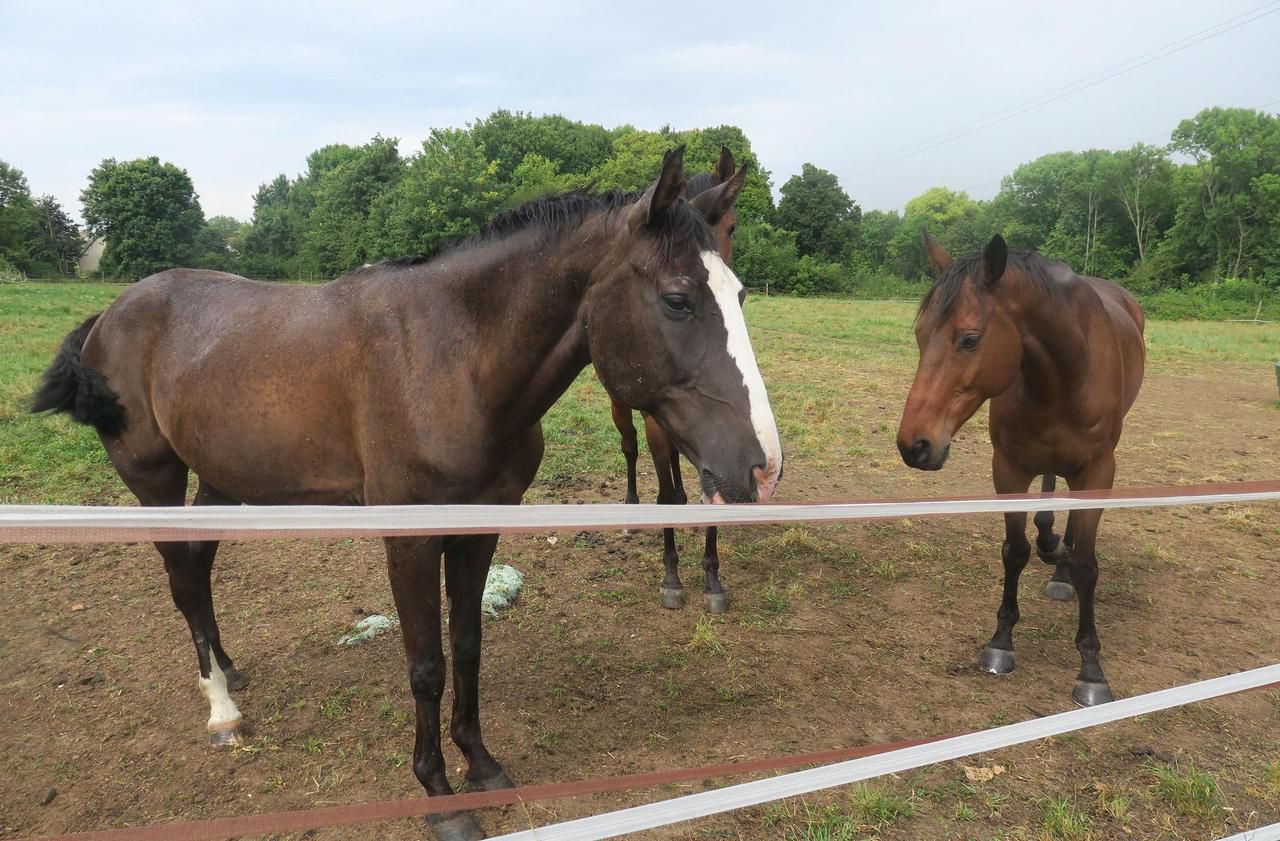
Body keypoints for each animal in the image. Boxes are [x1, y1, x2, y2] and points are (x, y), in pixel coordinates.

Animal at [609, 145, 742, 609]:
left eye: (732, 226)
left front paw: (713, 579)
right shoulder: (655, 425)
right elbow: (664, 493)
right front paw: (672, 577)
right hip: (620, 407)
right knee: (630, 449)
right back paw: (632, 508)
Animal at [896, 232, 1146, 706]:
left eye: (970, 339)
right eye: (919, 335)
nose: (913, 445)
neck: (1066, 371)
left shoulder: (1099, 473)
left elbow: (1087, 565)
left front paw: (1091, 670)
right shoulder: (1008, 468)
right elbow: (1014, 552)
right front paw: (1001, 642)